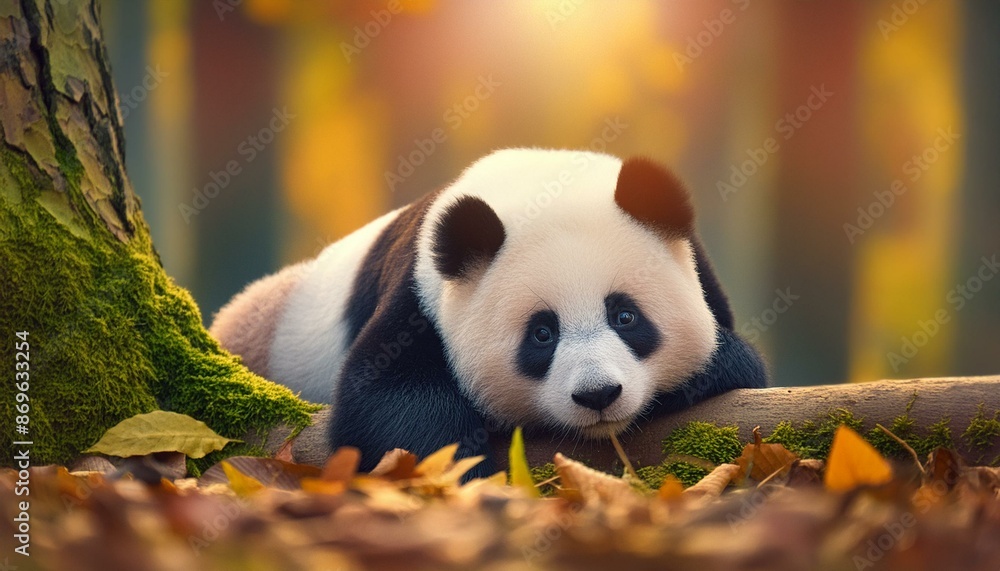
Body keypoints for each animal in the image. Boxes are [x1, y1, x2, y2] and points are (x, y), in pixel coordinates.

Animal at [210, 148, 767, 477]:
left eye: (624, 317)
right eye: (542, 334)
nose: (598, 395)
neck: (540, 185)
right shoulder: (420, 295)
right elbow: (385, 400)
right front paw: (461, 476)